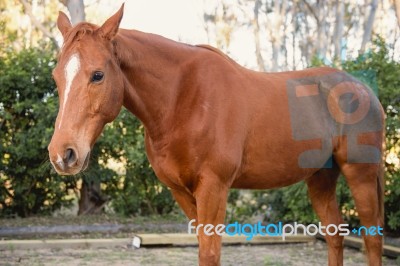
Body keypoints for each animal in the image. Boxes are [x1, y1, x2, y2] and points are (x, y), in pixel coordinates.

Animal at [47, 4, 384, 266]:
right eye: (56, 76)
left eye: (98, 75)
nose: (63, 153)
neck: (182, 99)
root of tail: (364, 89)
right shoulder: (182, 192)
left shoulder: (214, 187)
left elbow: (210, 254)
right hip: (321, 178)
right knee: (335, 235)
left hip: (361, 176)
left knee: (373, 239)